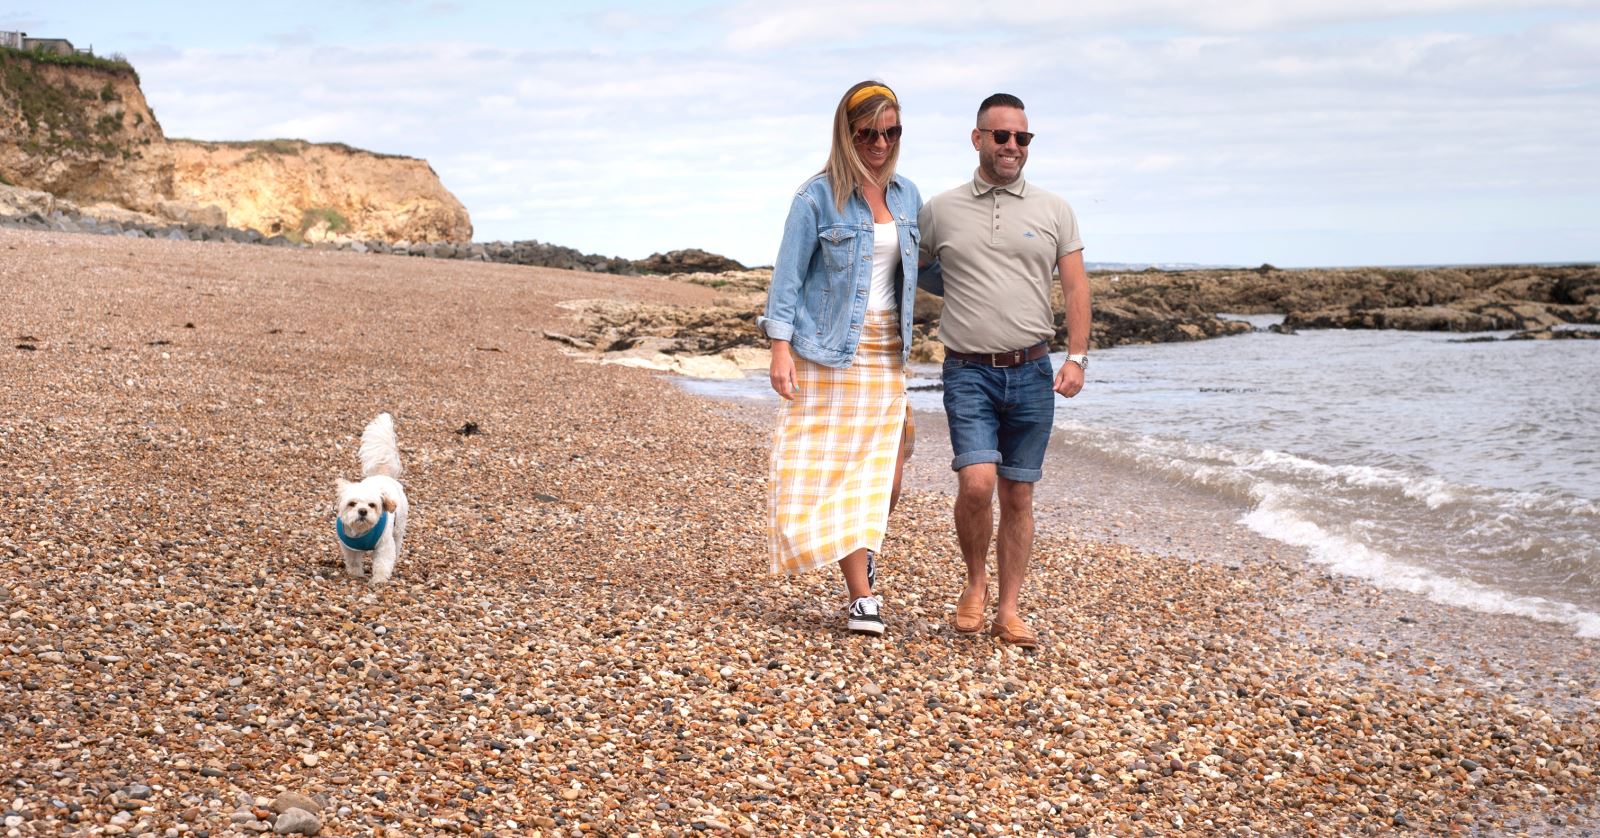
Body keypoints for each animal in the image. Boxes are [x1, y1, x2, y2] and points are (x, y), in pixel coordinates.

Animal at [329, 412, 403, 582]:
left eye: (372, 505)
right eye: (352, 503)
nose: (362, 511)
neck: (361, 532)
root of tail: (382, 475)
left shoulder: (384, 546)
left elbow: (382, 563)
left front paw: (379, 580)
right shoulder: (349, 548)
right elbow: (354, 562)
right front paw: (356, 575)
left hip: (399, 530)